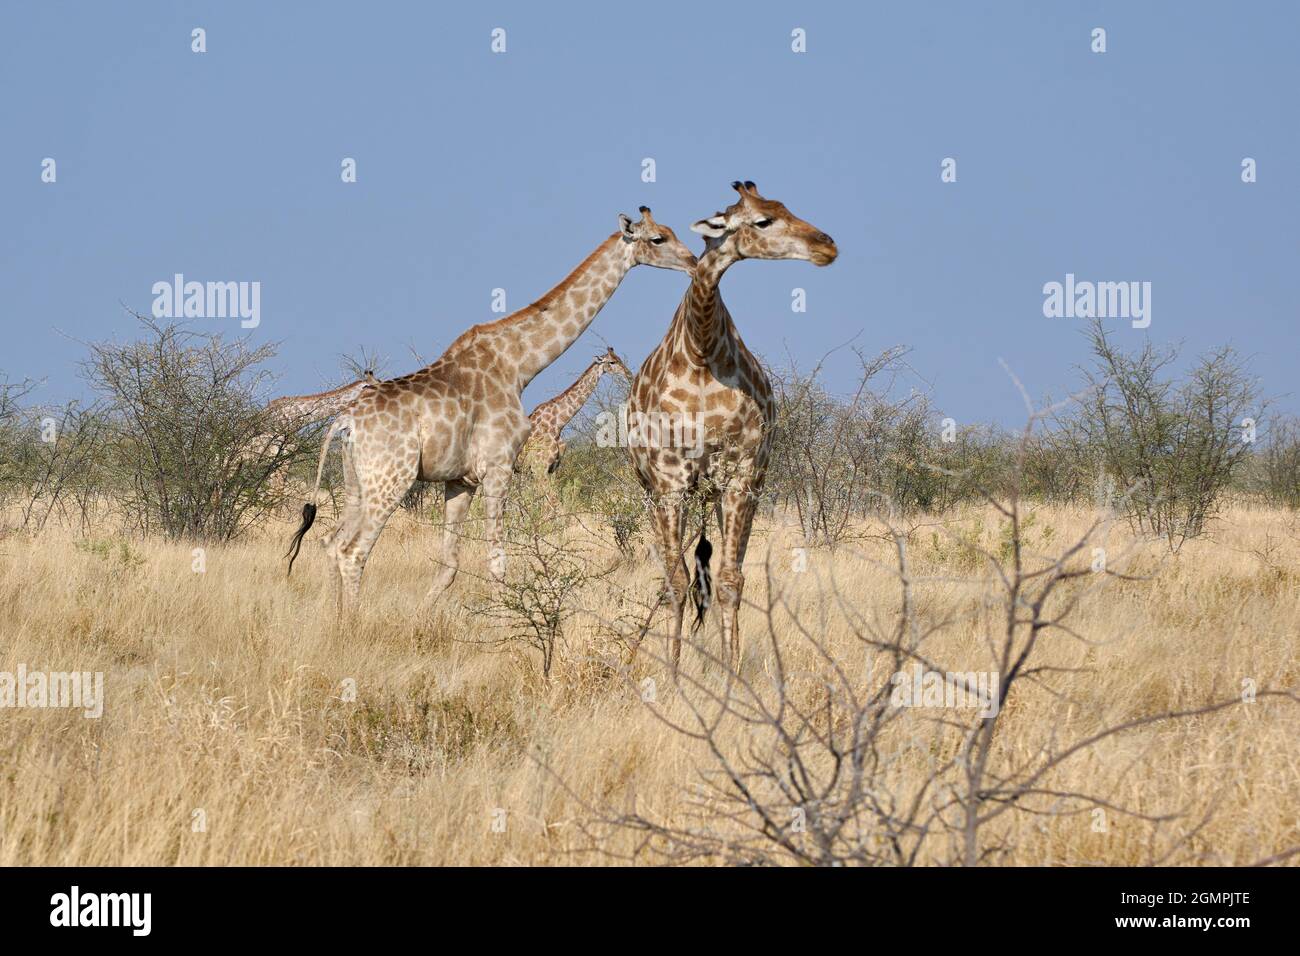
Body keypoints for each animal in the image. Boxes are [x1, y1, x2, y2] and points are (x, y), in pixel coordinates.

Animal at [522, 345, 634, 476]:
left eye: (620, 358)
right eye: (612, 362)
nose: (629, 374)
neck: (558, 424)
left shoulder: (553, 467)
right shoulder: (539, 467)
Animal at [631, 183, 842, 671]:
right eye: (763, 221)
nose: (826, 246)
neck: (702, 349)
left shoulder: (743, 476)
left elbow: (730, 580)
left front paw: (732, 670)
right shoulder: (670, 481)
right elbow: (676, 582)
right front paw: (673, 674)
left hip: (719, 491)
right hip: (653, 491)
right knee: (675, 575)